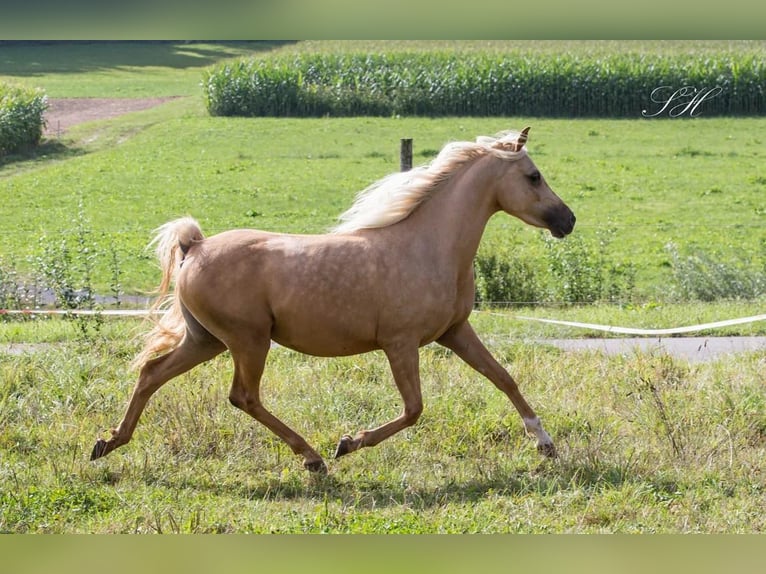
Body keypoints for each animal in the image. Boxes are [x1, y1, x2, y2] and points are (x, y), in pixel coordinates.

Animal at [91, 128, 576, 474]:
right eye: (533, 176)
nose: (568, 220)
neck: (429, 246)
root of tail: (194, 245)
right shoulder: (400, 343)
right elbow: (414, 409)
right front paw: (348, 442)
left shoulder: (455, 332)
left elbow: (504, 378)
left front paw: (545, 444)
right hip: (248, 340)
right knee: (242, 396)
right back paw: (314, 457)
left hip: (205, 340)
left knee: (153, 374)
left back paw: (108, 442)